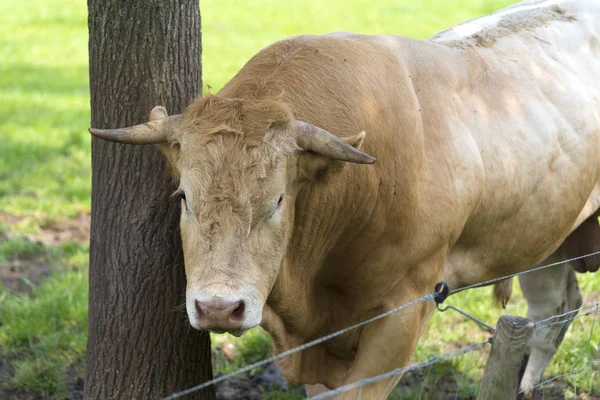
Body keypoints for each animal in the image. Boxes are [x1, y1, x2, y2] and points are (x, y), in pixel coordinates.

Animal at [90, 0, 600, 396]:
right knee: (554, 308)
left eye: (278, 201)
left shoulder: (405, 310)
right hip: (543, 236)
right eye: (183, 196)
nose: (218, 307)